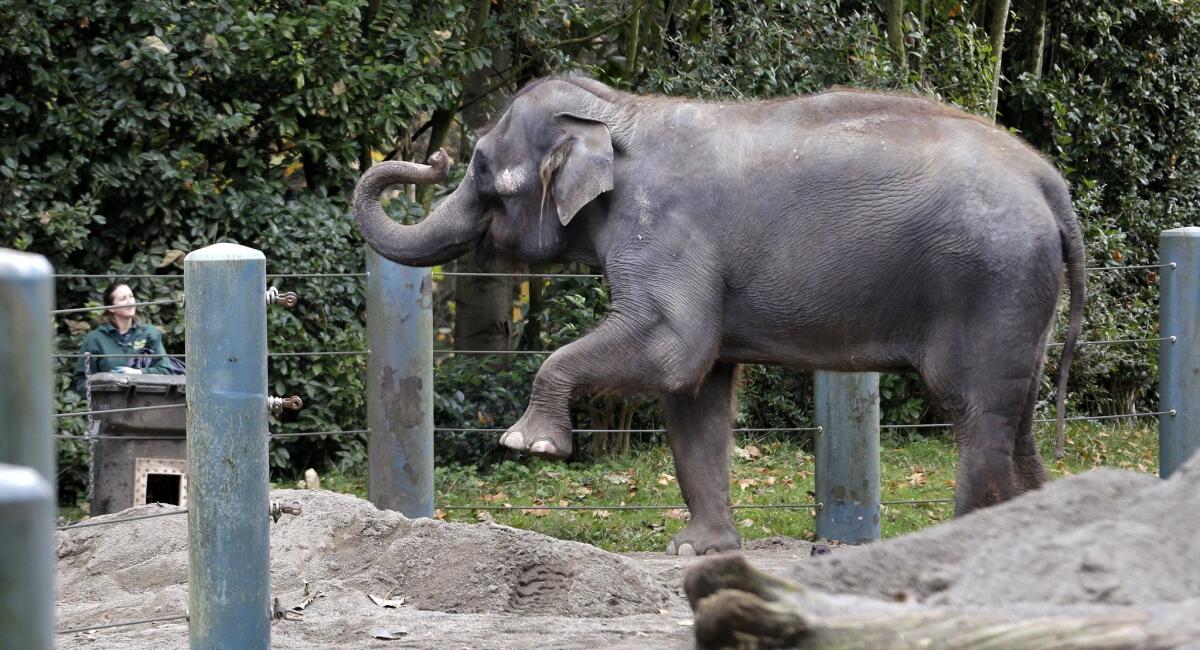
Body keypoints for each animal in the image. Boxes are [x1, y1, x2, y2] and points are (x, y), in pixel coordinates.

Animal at [350, 75, 1089, 556]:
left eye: (479, 169)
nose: (435, 152)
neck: (621, 112)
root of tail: (1049, 182)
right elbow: (695, 392)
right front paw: (696, 551)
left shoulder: (665, 234)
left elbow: (673, 350)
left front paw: (528, 444)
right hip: (1022, 296)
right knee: (1015, 418)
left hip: (990, 280)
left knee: (977, 412)